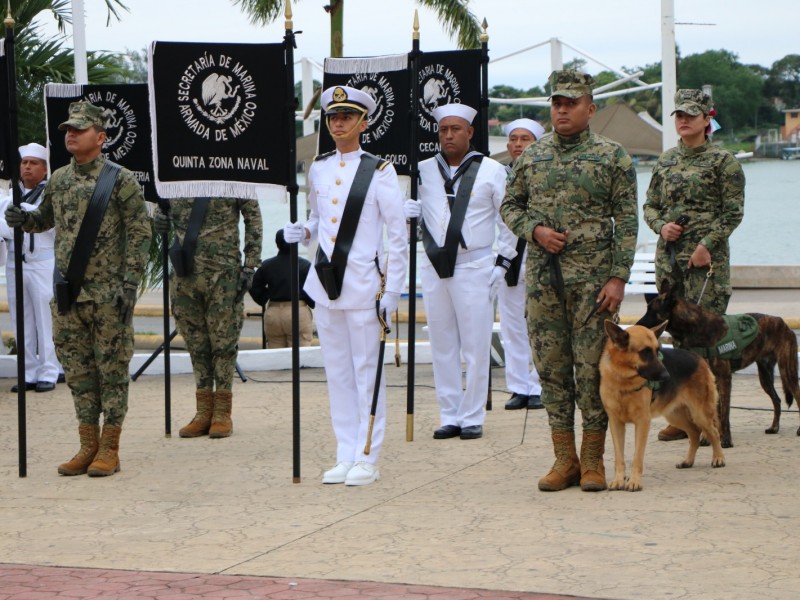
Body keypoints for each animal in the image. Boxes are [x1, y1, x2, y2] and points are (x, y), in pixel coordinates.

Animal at [600, 322, 724, 490]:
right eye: (645, 352)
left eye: (657, 350)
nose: (666, 376)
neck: (623, 381)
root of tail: (697, 357)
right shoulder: (615, 423)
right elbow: (619, 457)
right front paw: (619, 480)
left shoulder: (642, 422)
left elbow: (637, 457)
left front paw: (634, 481)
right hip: (675, 415)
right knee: (694, 433)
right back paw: (688, 461)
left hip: (700, 414)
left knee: (714, 432)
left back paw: (718, 458)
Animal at [636, 280, 800, 446]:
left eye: (652, 310)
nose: (637, 325)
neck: (697, 326)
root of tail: (782, 322)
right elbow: (714, 412)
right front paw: (708, 438)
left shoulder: (724, 378)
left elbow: (724, 413)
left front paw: (726, 439)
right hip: (765, 377)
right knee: (777, 400)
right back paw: (774, 427)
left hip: (787, 372)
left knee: (797, 396)